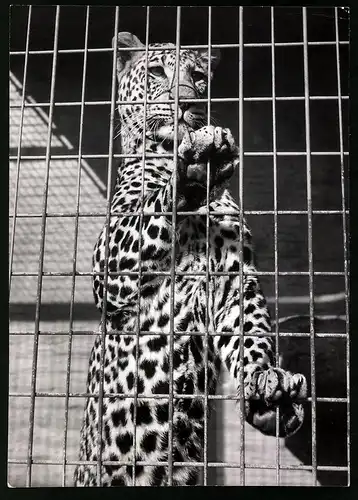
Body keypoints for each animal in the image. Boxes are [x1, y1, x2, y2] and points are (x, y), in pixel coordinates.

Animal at [73, 30, 308, 484]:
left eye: (199, 77)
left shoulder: (233, 278)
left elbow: (250, 330)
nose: (186, 101)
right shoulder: (111, 270)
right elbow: (155, 210)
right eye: (156, 71)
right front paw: (196, 168)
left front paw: (265, 383)